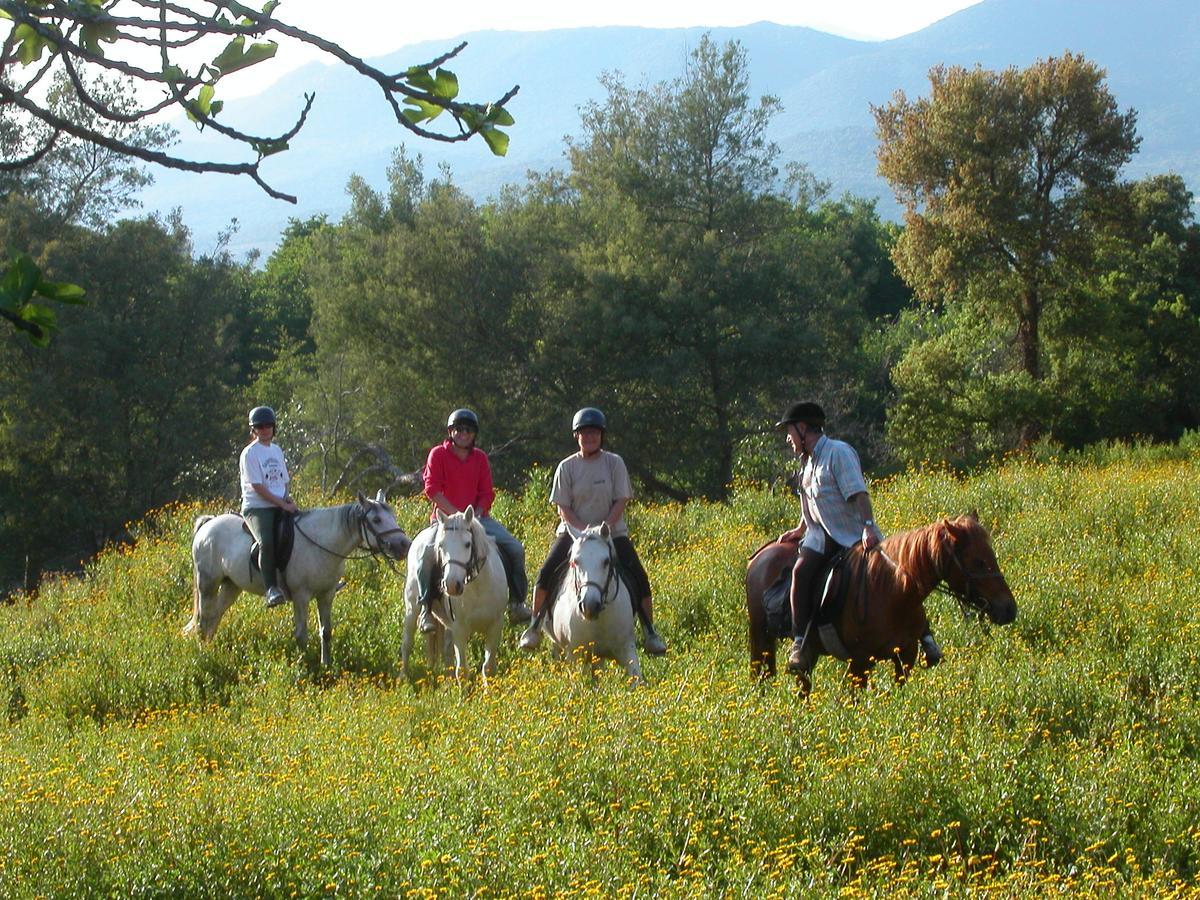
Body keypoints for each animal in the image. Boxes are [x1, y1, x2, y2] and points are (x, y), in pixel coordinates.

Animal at [184, 489, 410, 667]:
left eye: (393, 516)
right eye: (376, 520)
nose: (404, 545)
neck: (321, 542)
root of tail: (208, 524)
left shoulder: (326, 594)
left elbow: (326, 631)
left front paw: (326, 666)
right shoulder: (301, 596)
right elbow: (302, 635)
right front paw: (305, 665)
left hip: (231, 586)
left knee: (214, 618)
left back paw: (210, 651)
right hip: (208, 584)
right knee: (203, 622)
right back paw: (203, 657)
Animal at [400, 508, 508, 681]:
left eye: (468, 544)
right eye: (441, 545)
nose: (451, 585)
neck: (477, 589)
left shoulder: (495, 625)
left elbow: (489, 668)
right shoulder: (460, 629)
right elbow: (462, 670)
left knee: (446, 651)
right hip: (411, 608)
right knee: (407, 643)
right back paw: (403, 677)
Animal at [542, 520, 643, 681]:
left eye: (606, 561)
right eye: (575, 561)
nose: (589, 606)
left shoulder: (626, 647)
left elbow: (637, 679)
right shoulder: (575, 655)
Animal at [744, 513, 1017, 691]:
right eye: (978, 562)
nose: (1008, 609)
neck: (894, 592)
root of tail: (759, 556)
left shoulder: (906, 656)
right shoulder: (859, 662)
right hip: (761, 640)